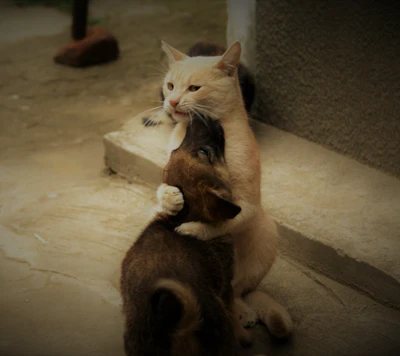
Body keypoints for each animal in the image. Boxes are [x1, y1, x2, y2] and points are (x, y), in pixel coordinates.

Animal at [119, 115, 253, 354]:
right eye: (204, 152)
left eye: (173, 152)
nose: (202, 117)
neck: (180, 219)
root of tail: (178, 326)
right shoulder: (227, 287)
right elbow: (234, 314)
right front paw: (243, 335)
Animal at [157, 40, 294, 338]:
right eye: (170, 86)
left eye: (194, 88)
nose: (171, 102)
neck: (192, 135)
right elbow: (162, 189)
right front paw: (171, 199)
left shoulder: (247, 205)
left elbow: (219, 223)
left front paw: (193, 229)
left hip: (265, 231)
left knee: (236, 291)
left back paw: (243, 312)